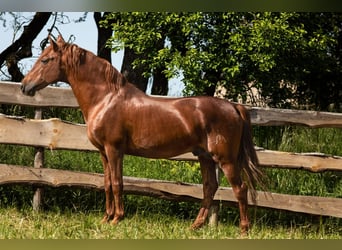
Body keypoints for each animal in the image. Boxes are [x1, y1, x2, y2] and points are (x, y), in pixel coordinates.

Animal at [21, 35, 264, 234]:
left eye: (46, 60)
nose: (24, 86)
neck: (106, 99)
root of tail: (233, 106)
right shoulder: (103, 152)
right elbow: (107, 183)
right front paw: (106, 218)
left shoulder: (114, 150)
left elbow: (117, 183)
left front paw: (117, 219)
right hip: (205, 157)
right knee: (209, 188)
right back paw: (195, 226)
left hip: (226, 159)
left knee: (239, 189)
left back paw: (244, 229)